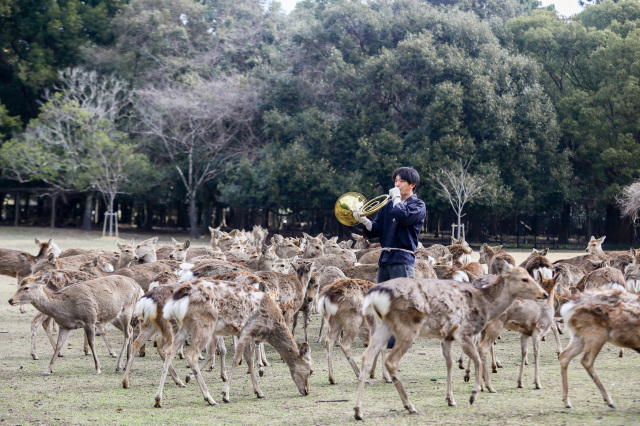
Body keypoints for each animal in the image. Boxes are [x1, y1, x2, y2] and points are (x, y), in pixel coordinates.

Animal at [8, 275, 141, 375]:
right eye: (19, 285)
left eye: (26, 287)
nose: (10, 300)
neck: (67, 310)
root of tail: (138, 286)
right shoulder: (65, 326)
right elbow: (58, 346)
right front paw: (48, 370)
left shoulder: (89, 319)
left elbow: (92, 344)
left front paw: (97, 369)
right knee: (130, 329)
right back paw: (126, 364)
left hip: (127, 308)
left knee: (128, 332)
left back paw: (118, 365)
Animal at [154, 278, 313, 408]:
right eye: (311, 370)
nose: (307, 391)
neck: (271, 325)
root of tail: (176, 300)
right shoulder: (247, 332)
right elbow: (237, 360)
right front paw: (225, 395)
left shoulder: (243, 334)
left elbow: (249, 361)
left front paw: (259, 392)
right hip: (204, 324)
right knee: (191, 355)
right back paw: (209, 398)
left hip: (182, 327)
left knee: (170, 352)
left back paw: (159, 398)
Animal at [352, 258, 549, 420]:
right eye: (524, 279)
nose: (545, 294)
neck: (487, 304)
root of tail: (375, 296)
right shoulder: (464, 332)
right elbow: (477, 359)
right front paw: (474, 393)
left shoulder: (447, 336)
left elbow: (450, 364)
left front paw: (450, 399)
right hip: (407, 327)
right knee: (391, 361)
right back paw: (410, 405)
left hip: (379, 326)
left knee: (365, 356)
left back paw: (358, 411)